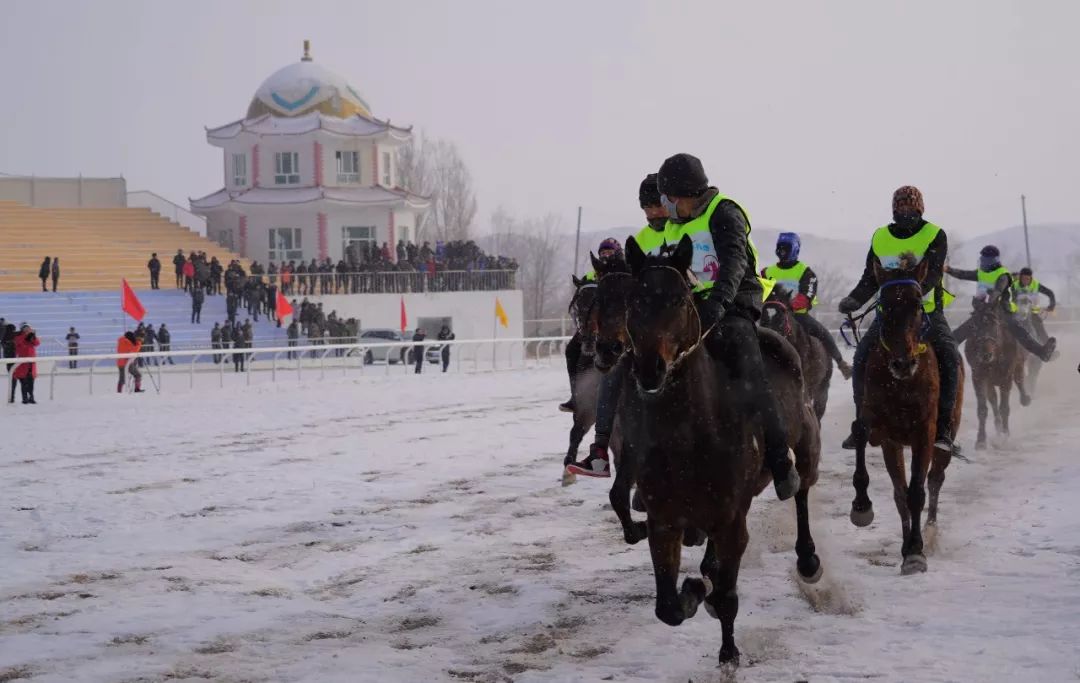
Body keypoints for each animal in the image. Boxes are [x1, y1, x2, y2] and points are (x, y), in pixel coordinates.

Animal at [622, 235, 820, 665]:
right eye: (633, 300)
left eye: (681, 300)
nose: (650, 369)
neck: (689, 434)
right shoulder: (664, 522)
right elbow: (667, 608)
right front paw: (694, 591)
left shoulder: (732, 523)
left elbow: (728, 598)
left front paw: (728, 653)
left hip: (807, 446)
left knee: (803, 491)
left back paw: (808, 558)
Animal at [846, 256, 967, 574]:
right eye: (884, 305)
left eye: (917, 304)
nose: (903, 363)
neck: (901, 383)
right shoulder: (883, 432)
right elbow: (863, 436)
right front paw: (861, 507)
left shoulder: (924, 433)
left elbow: (916, 492)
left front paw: (915, 552)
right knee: (901, 490)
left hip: (945, 436)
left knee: (935, 480)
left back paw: (930, 532)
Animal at [972, 293, 1028, 447]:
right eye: (975, 325)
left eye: (994, 325)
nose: (985, 354)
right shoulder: (979, 377)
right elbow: (983, 409)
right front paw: (980, 441)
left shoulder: (1006, 377)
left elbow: (1004, 408)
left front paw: (1005, 435)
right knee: (993, 399)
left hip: (1018, 364)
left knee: (1019, 379)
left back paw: (1025, 398)